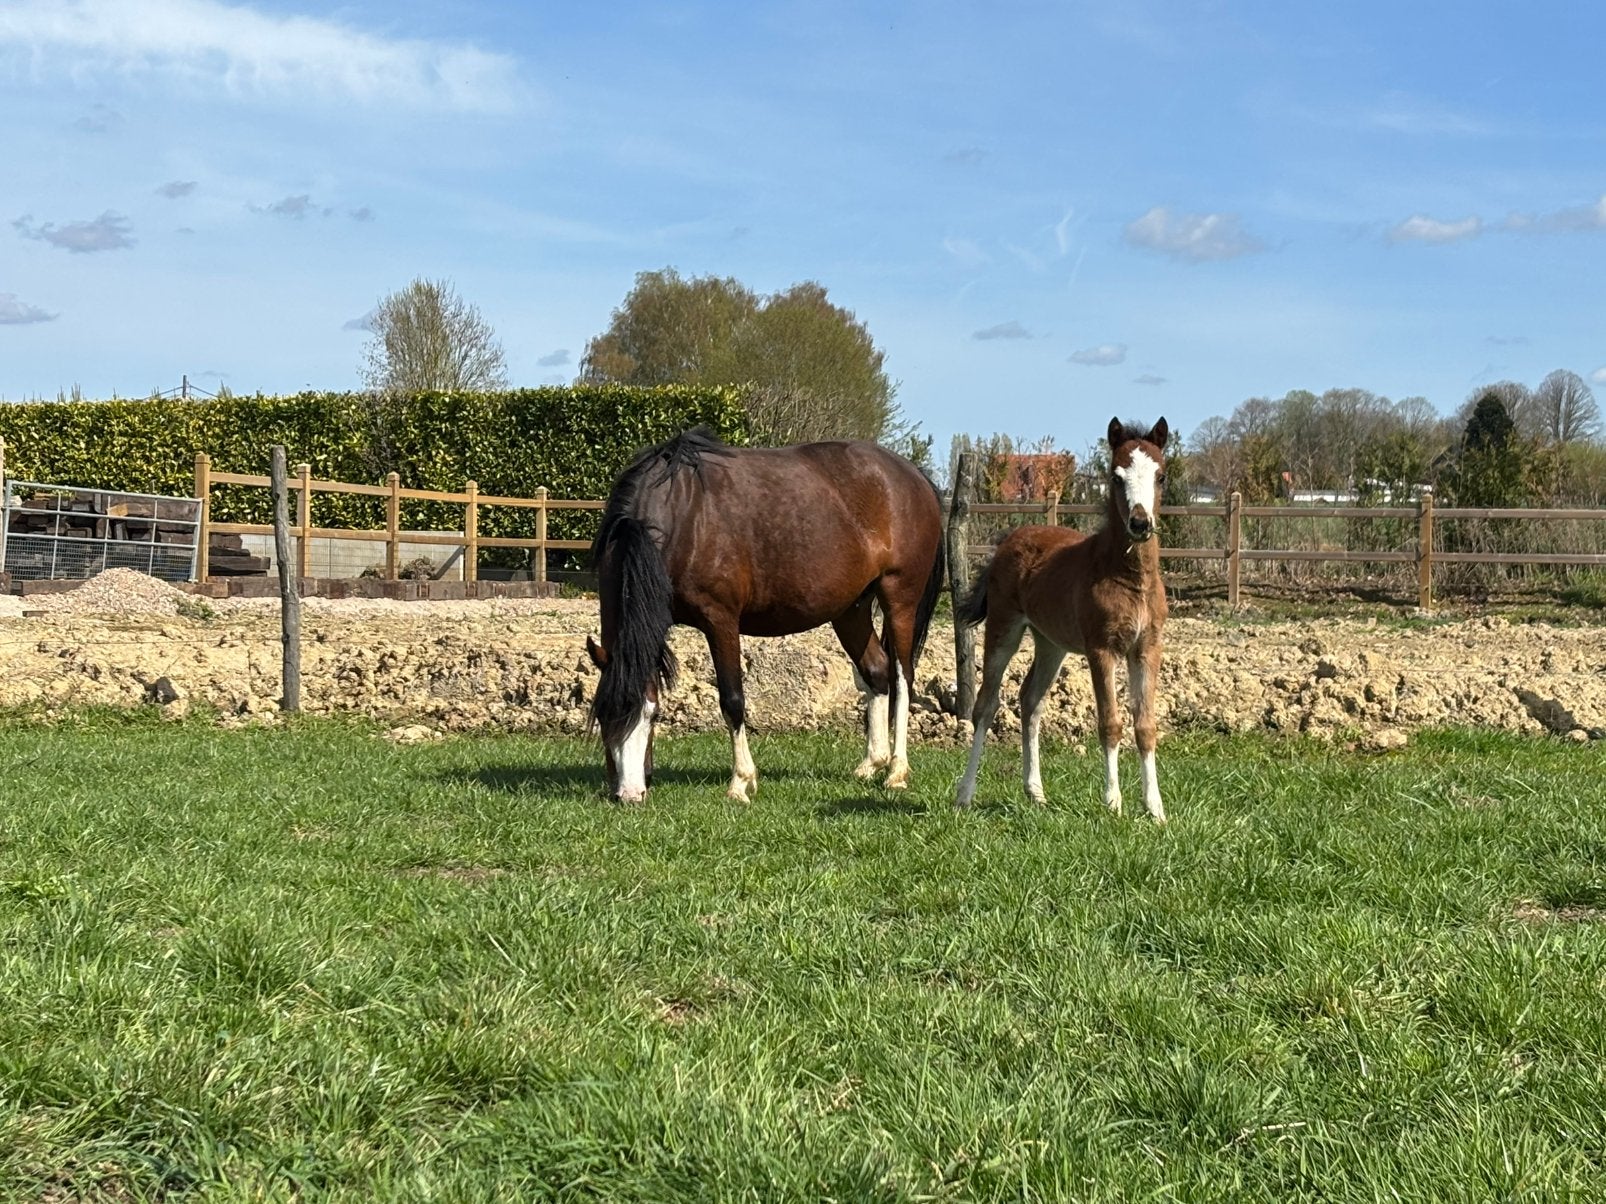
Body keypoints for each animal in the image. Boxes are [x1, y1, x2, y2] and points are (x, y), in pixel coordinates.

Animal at [585, 427, 946, 804]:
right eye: (603, 717)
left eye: (651, 715)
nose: (628, 794)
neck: (682, 515)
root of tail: (914, 475)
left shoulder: (721, 621)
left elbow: (732, 700)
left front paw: (741, 782)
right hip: (851, 610)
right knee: (876, 671)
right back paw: (871, 763)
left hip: (900, 600)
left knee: (902, 677)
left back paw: (896, 771)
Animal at [953, 417, 1171, 822]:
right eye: (1116, 476)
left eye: (1160, 475)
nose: (1139, 523)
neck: (1128, 577)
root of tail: (1009, 539)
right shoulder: (1101, 649)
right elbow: (1110, 723)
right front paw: (1113, 802)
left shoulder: (1147, 648)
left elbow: (1146, 726)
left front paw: (1156, 810)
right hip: (1004, 630)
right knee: (986, 706)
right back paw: (965, 793)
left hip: (1051, 644)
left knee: (1031, 701)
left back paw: (1036, 793)